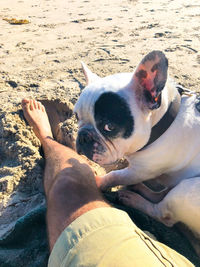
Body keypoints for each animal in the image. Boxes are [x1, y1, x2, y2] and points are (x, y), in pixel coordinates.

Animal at [74, 50, 200, 245]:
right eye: (76, 116)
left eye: (109, 127)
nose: (83, 136)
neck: (163, 122)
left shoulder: (140, 170)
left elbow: (115, 175)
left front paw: (99, 181)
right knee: (161, 194)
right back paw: (137, 190)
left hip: (189, 188)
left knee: (162, 213)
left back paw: (133, 199)